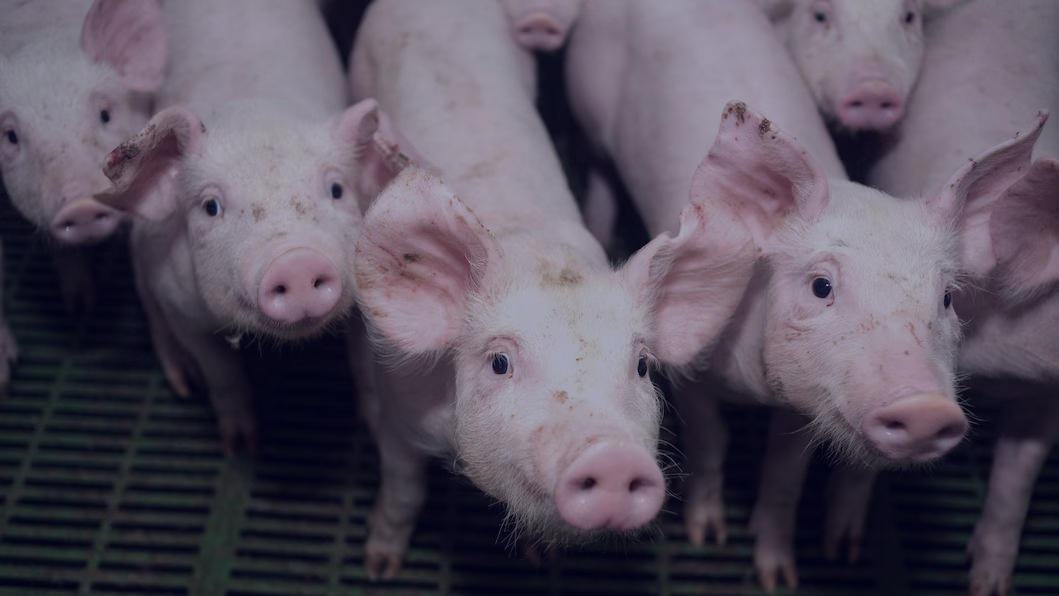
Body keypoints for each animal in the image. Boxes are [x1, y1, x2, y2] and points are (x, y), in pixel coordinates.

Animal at [94, 0, 418, 454]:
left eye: (337, 189)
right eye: (211, 206)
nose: (296, 262)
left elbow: (364, 365)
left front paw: (372, 430)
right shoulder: (179, 303)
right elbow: (221, 372)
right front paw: (241, 445)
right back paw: (182, 383)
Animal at [349, 0, 762, 580]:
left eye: (642, 366)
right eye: (500, 362)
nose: (611, 456)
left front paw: (539, 556)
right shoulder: (401, 416)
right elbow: (405, 492)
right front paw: (379, 566)